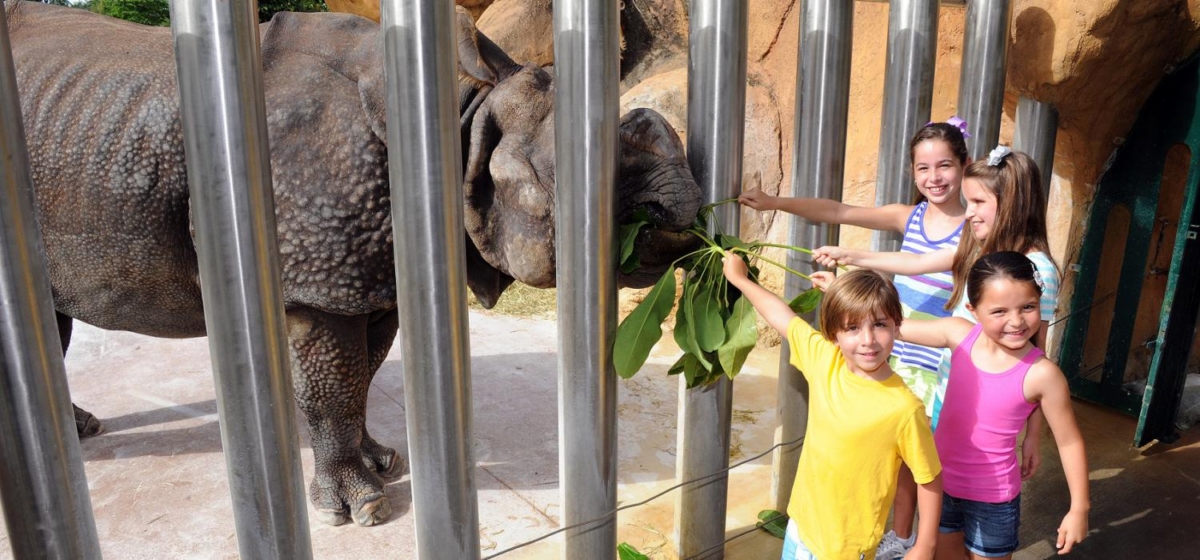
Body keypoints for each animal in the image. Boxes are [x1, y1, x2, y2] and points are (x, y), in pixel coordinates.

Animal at [6, 2, 700, 526]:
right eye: (547, 183)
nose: (684, 210)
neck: (463, 119)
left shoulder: (368, 271)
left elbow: (359, 373)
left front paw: (380, 461)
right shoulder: (319, 281)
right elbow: (332, 383)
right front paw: (358, 509)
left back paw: (78, 429)